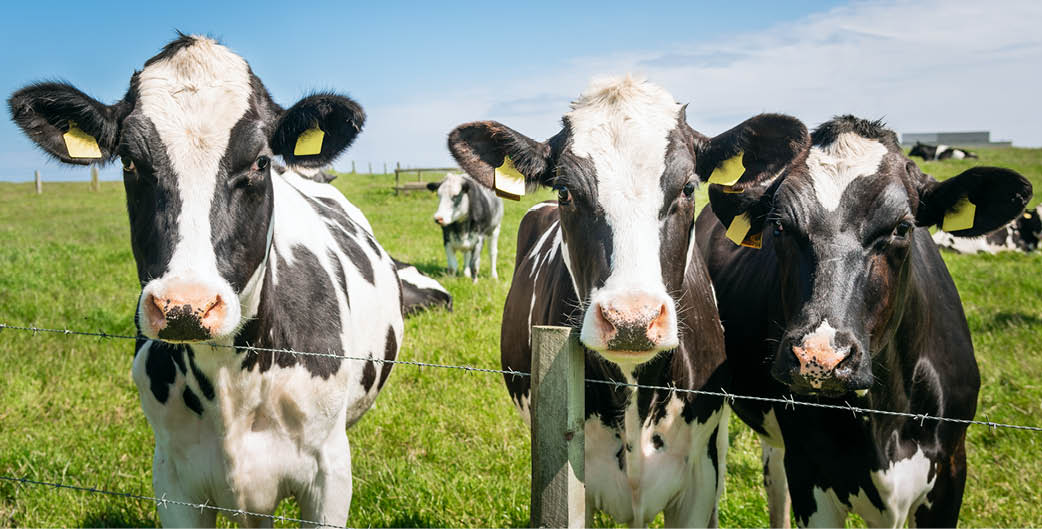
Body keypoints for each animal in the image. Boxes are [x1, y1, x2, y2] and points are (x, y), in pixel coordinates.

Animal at [8, 34, 406, 526]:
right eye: (129, 162)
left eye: (259, 162)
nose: (186, 305)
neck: (230, 379)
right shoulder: (173, 478)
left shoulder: (329, 474)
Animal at [696, 115, 1032, 527]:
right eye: (779, 226)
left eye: (903, 227)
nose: (819, 360)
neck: (884, 417)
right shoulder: (809, 472)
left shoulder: (951, 467)